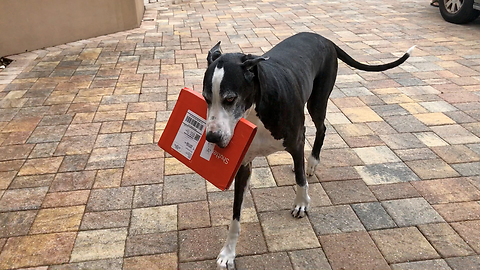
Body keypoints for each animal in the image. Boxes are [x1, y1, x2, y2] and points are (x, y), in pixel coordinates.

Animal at [202, 31, 412, 268]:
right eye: (206, 98)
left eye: (230, 98)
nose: (212, 137)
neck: (256, 107)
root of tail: (325, 39)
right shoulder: (244, 164)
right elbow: (236, 214)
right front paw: (228, 252)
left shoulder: (296, 141)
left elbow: (301, 179)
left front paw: (302, 203)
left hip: (317, 102)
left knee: (321, 129)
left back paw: (311, 162)